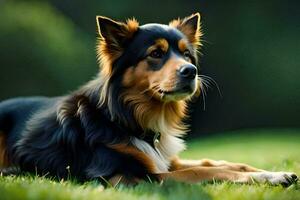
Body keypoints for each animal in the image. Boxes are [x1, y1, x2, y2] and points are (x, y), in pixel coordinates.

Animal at [0, 12, 296, 186]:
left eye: (186, 54)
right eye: (156, 54)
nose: (191, 71)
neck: (127, 116)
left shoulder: (162, 159)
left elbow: (216, 162)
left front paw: (272, 171)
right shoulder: (126, 177)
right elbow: (205, 172)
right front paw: (267, 176)